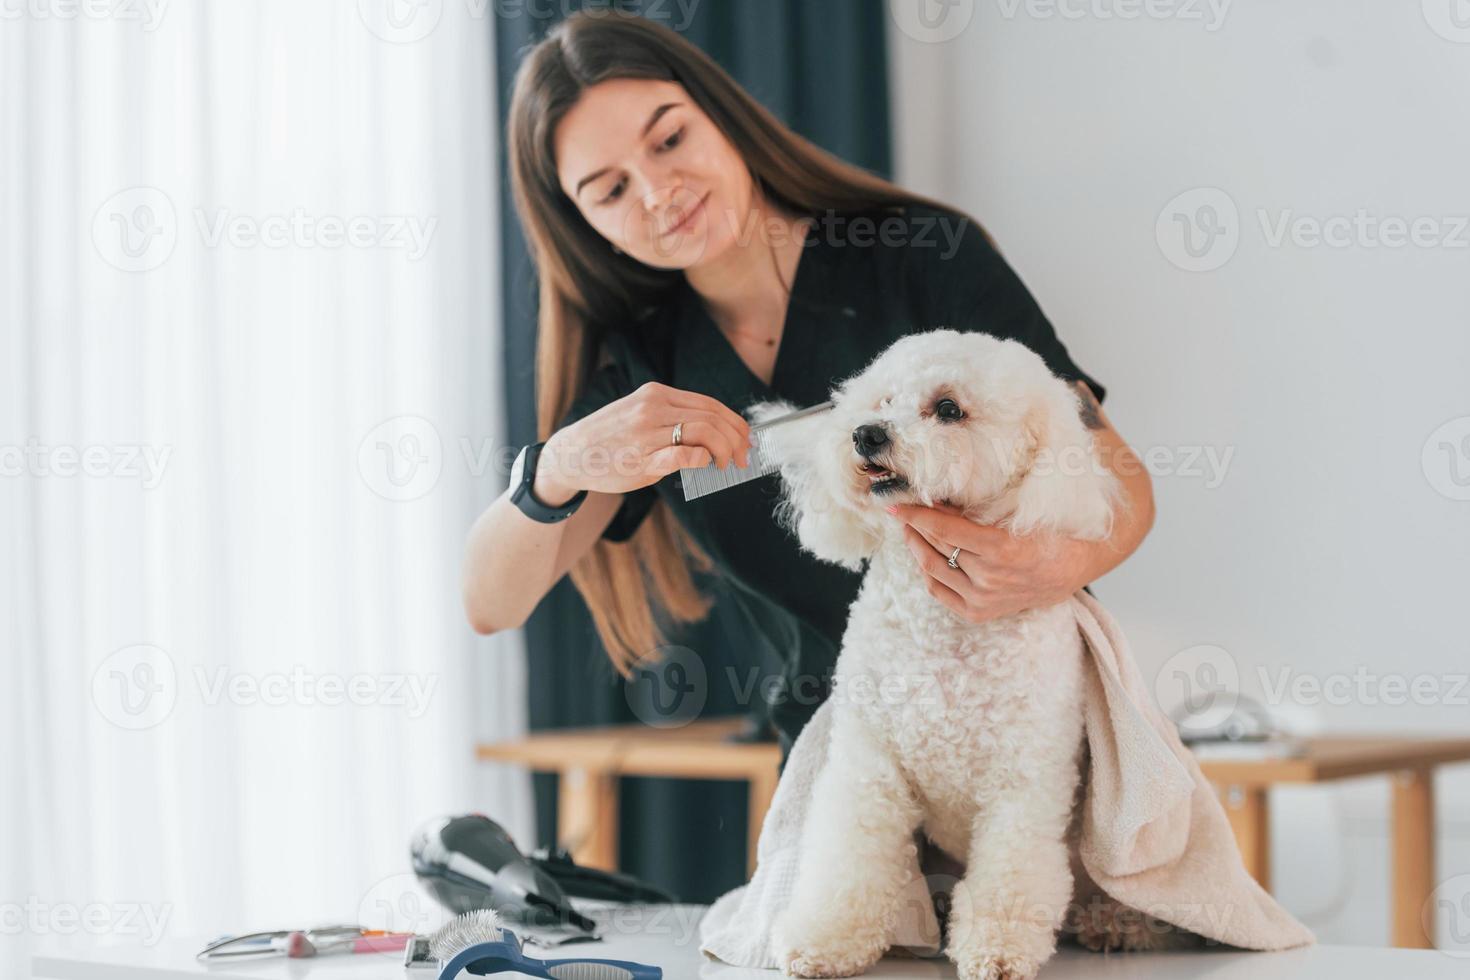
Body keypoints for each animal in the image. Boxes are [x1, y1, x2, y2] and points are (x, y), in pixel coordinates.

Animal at [752, 332, 1187, 980]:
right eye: (882, 399)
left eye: (948, 409)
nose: (866, 434)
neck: (942, 633)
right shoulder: (868, 763)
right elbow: (849, 857)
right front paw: (825, 939)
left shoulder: (1026, 778)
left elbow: (1011, 873)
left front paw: (998, 950)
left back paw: (1118, 923)